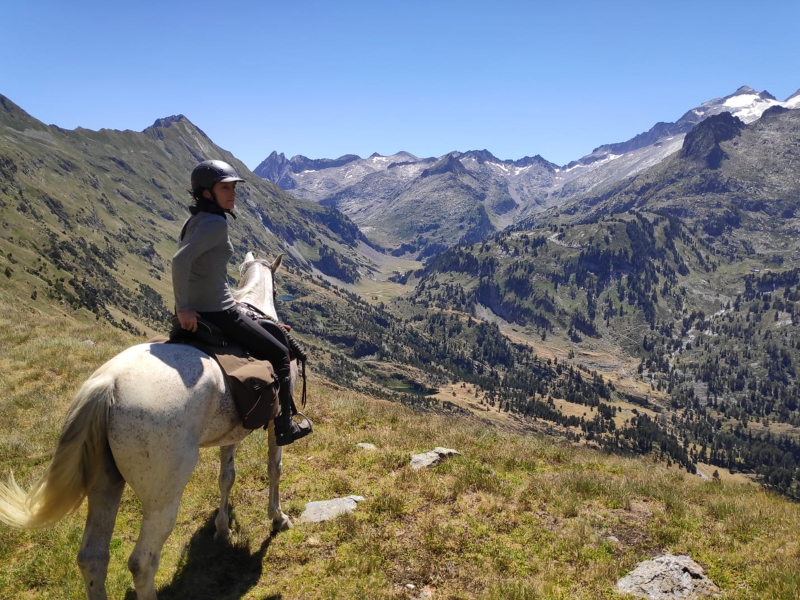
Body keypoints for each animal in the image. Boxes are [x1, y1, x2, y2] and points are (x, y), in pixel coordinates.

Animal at [0, 251, 296, 596]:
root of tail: (108, 384)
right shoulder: (275, 423)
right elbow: (274, 468)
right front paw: (278, 517)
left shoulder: (231, 432)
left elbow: (227, 477)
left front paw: (222, 529)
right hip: (162, 497)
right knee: (142, 562)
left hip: (105, 481)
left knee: (92, 556)